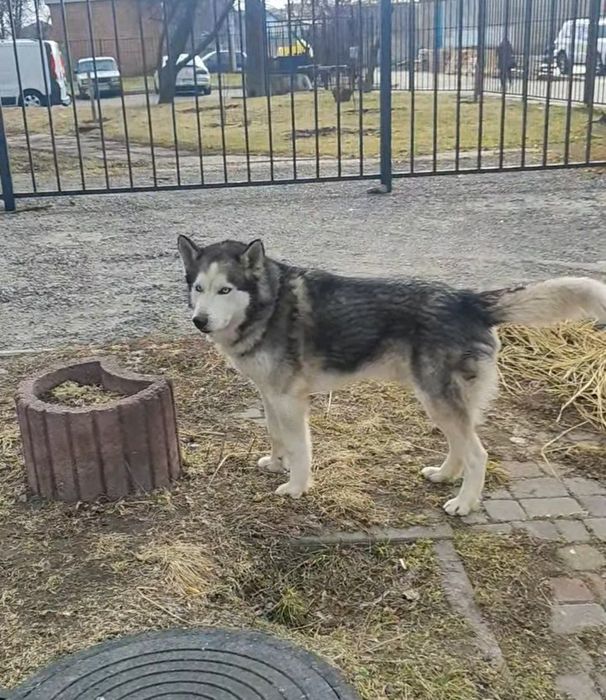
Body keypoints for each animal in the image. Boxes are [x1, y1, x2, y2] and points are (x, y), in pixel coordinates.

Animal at [177, 236, 606, 516]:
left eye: (225, 289)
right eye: (199, 288)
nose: (199, 321)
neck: (268, 304)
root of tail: (467, 299)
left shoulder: (291, 400)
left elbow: (300, 449)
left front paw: (296, 487)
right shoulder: (270, 395)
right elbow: (274, 434)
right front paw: (274, 462)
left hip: (437, 398)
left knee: (478, 454)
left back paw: (464, 503)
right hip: (438, 400)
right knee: (460, 446)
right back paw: (444, 475)